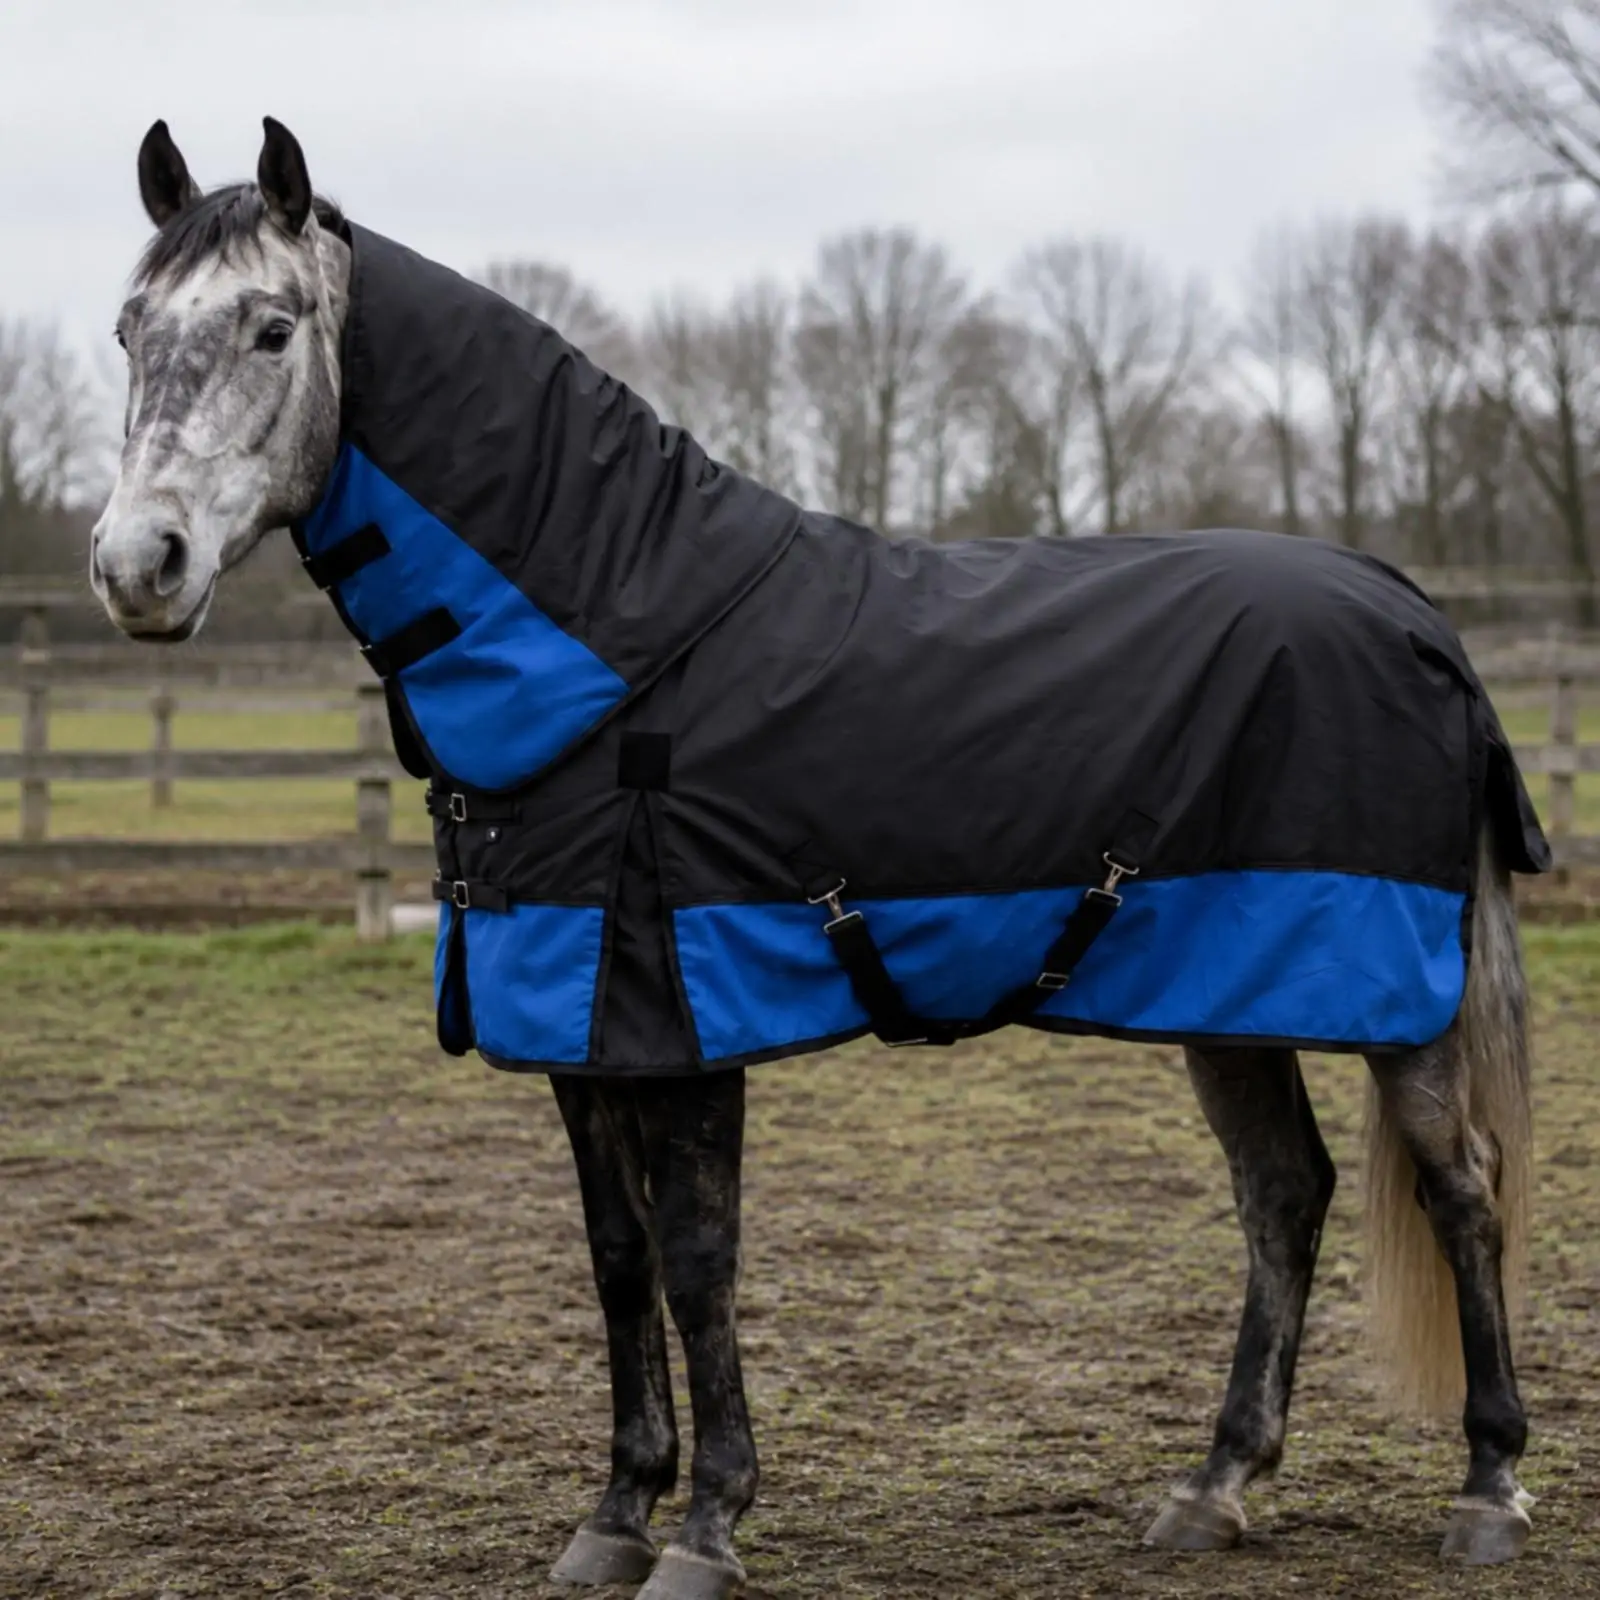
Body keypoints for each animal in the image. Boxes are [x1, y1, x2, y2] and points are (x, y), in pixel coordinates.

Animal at [91, 116, 1545, 1596]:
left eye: (273, 329)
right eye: (129, 332)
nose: (138, 566)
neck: (629, 658)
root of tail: (1410, 607)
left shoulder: (679, 1022)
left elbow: (697, 1260)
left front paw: (707, 1528)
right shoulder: (571, 1029)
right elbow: (616, 1259)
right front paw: (615, 1513)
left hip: (1394, 1002)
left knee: (1461, 1189)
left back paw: (1487, 1488)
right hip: (1230, 990)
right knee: (1283, 1194)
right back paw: (1216, 1485)